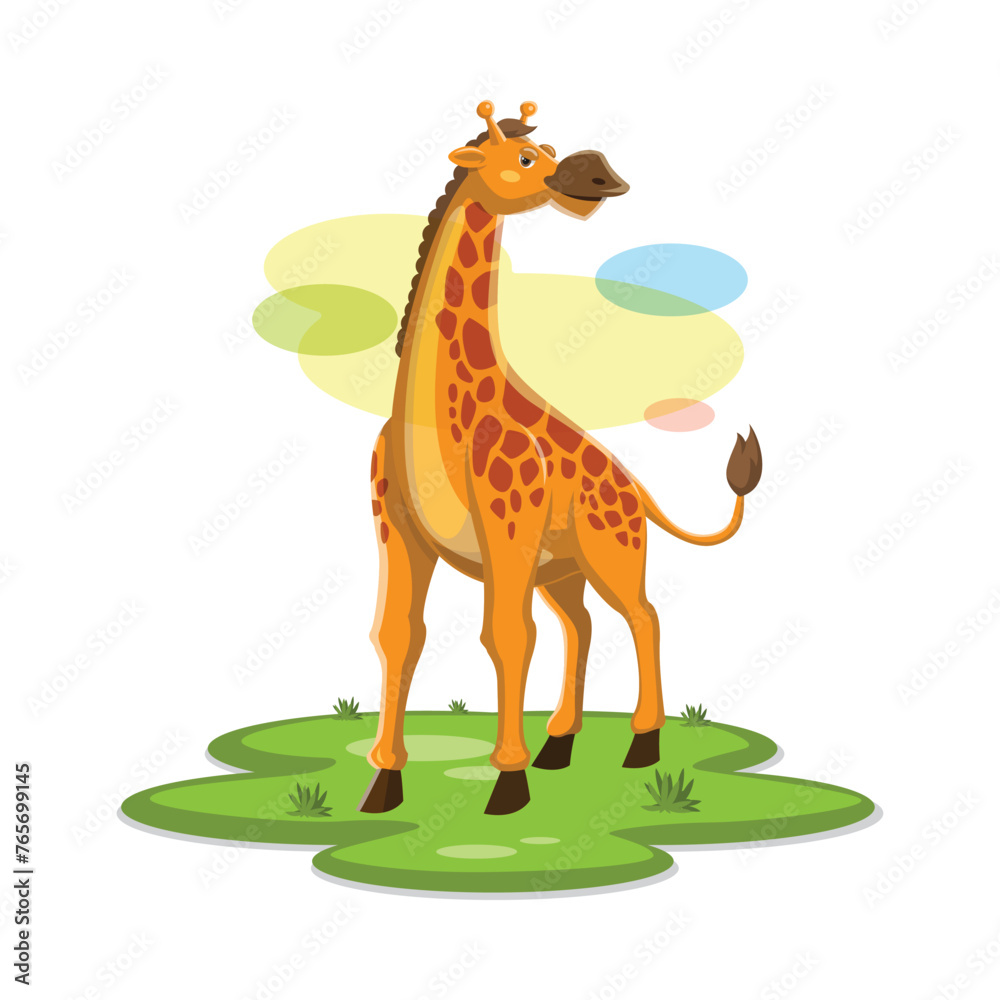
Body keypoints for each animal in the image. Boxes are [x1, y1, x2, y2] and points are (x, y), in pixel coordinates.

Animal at [360, 101, 762, 815]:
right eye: (527, 158)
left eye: (549, 153)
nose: (600, 177)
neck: (426, 416)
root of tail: (635, 488)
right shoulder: (395, 526)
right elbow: (399, 636)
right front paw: (384, 784)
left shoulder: (506, 525)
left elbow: (506, 636)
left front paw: (507, 784)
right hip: (564, 567)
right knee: (583, 625)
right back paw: (559, 744)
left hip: (611, 549)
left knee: (643, 617)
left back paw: (642, 745)